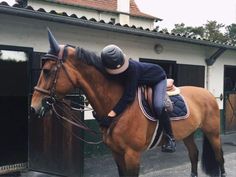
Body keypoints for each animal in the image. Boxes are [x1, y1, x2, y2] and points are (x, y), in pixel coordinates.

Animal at [30, 29, 226, 176]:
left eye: (47, 71)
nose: (34, 108)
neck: (119, 108)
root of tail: (208, 93)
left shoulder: (132, 155)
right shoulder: (117, 153)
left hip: (213, 133)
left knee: (219, 158)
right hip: (188, 133)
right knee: (194, 155)